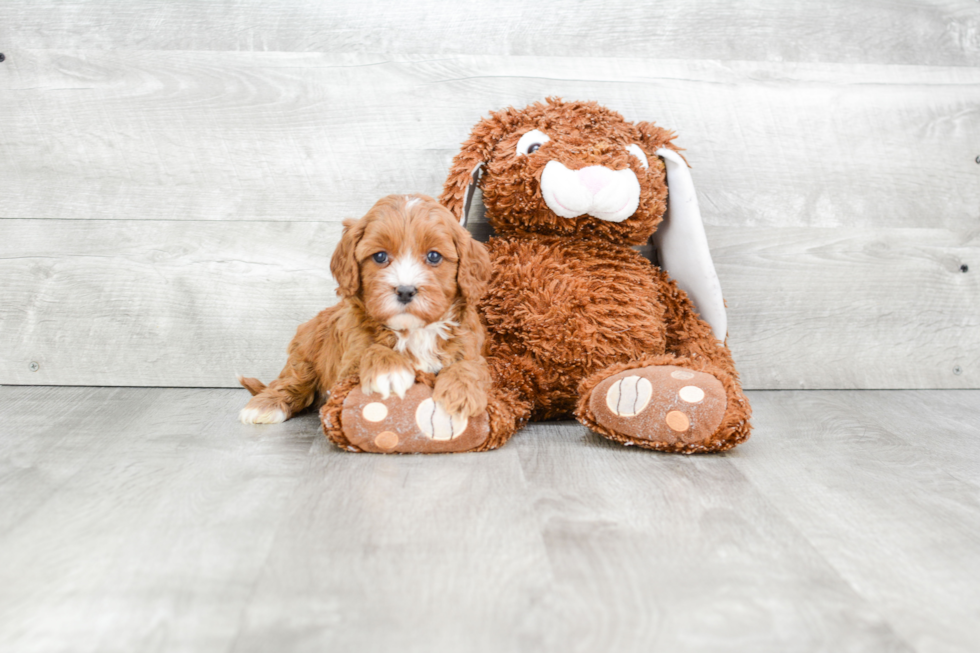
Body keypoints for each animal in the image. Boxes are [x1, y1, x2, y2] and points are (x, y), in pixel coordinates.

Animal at [239, 192, 490, 428]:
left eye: (434, 256)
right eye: (380, 256)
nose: (405, 291)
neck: (412, 330)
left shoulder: (471, 345)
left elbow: (472, 365)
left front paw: (461, 393)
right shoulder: (348, 364)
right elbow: (371, 349)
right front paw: (389, 371)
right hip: (305, 354)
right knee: (293, 381)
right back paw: (265, 405)